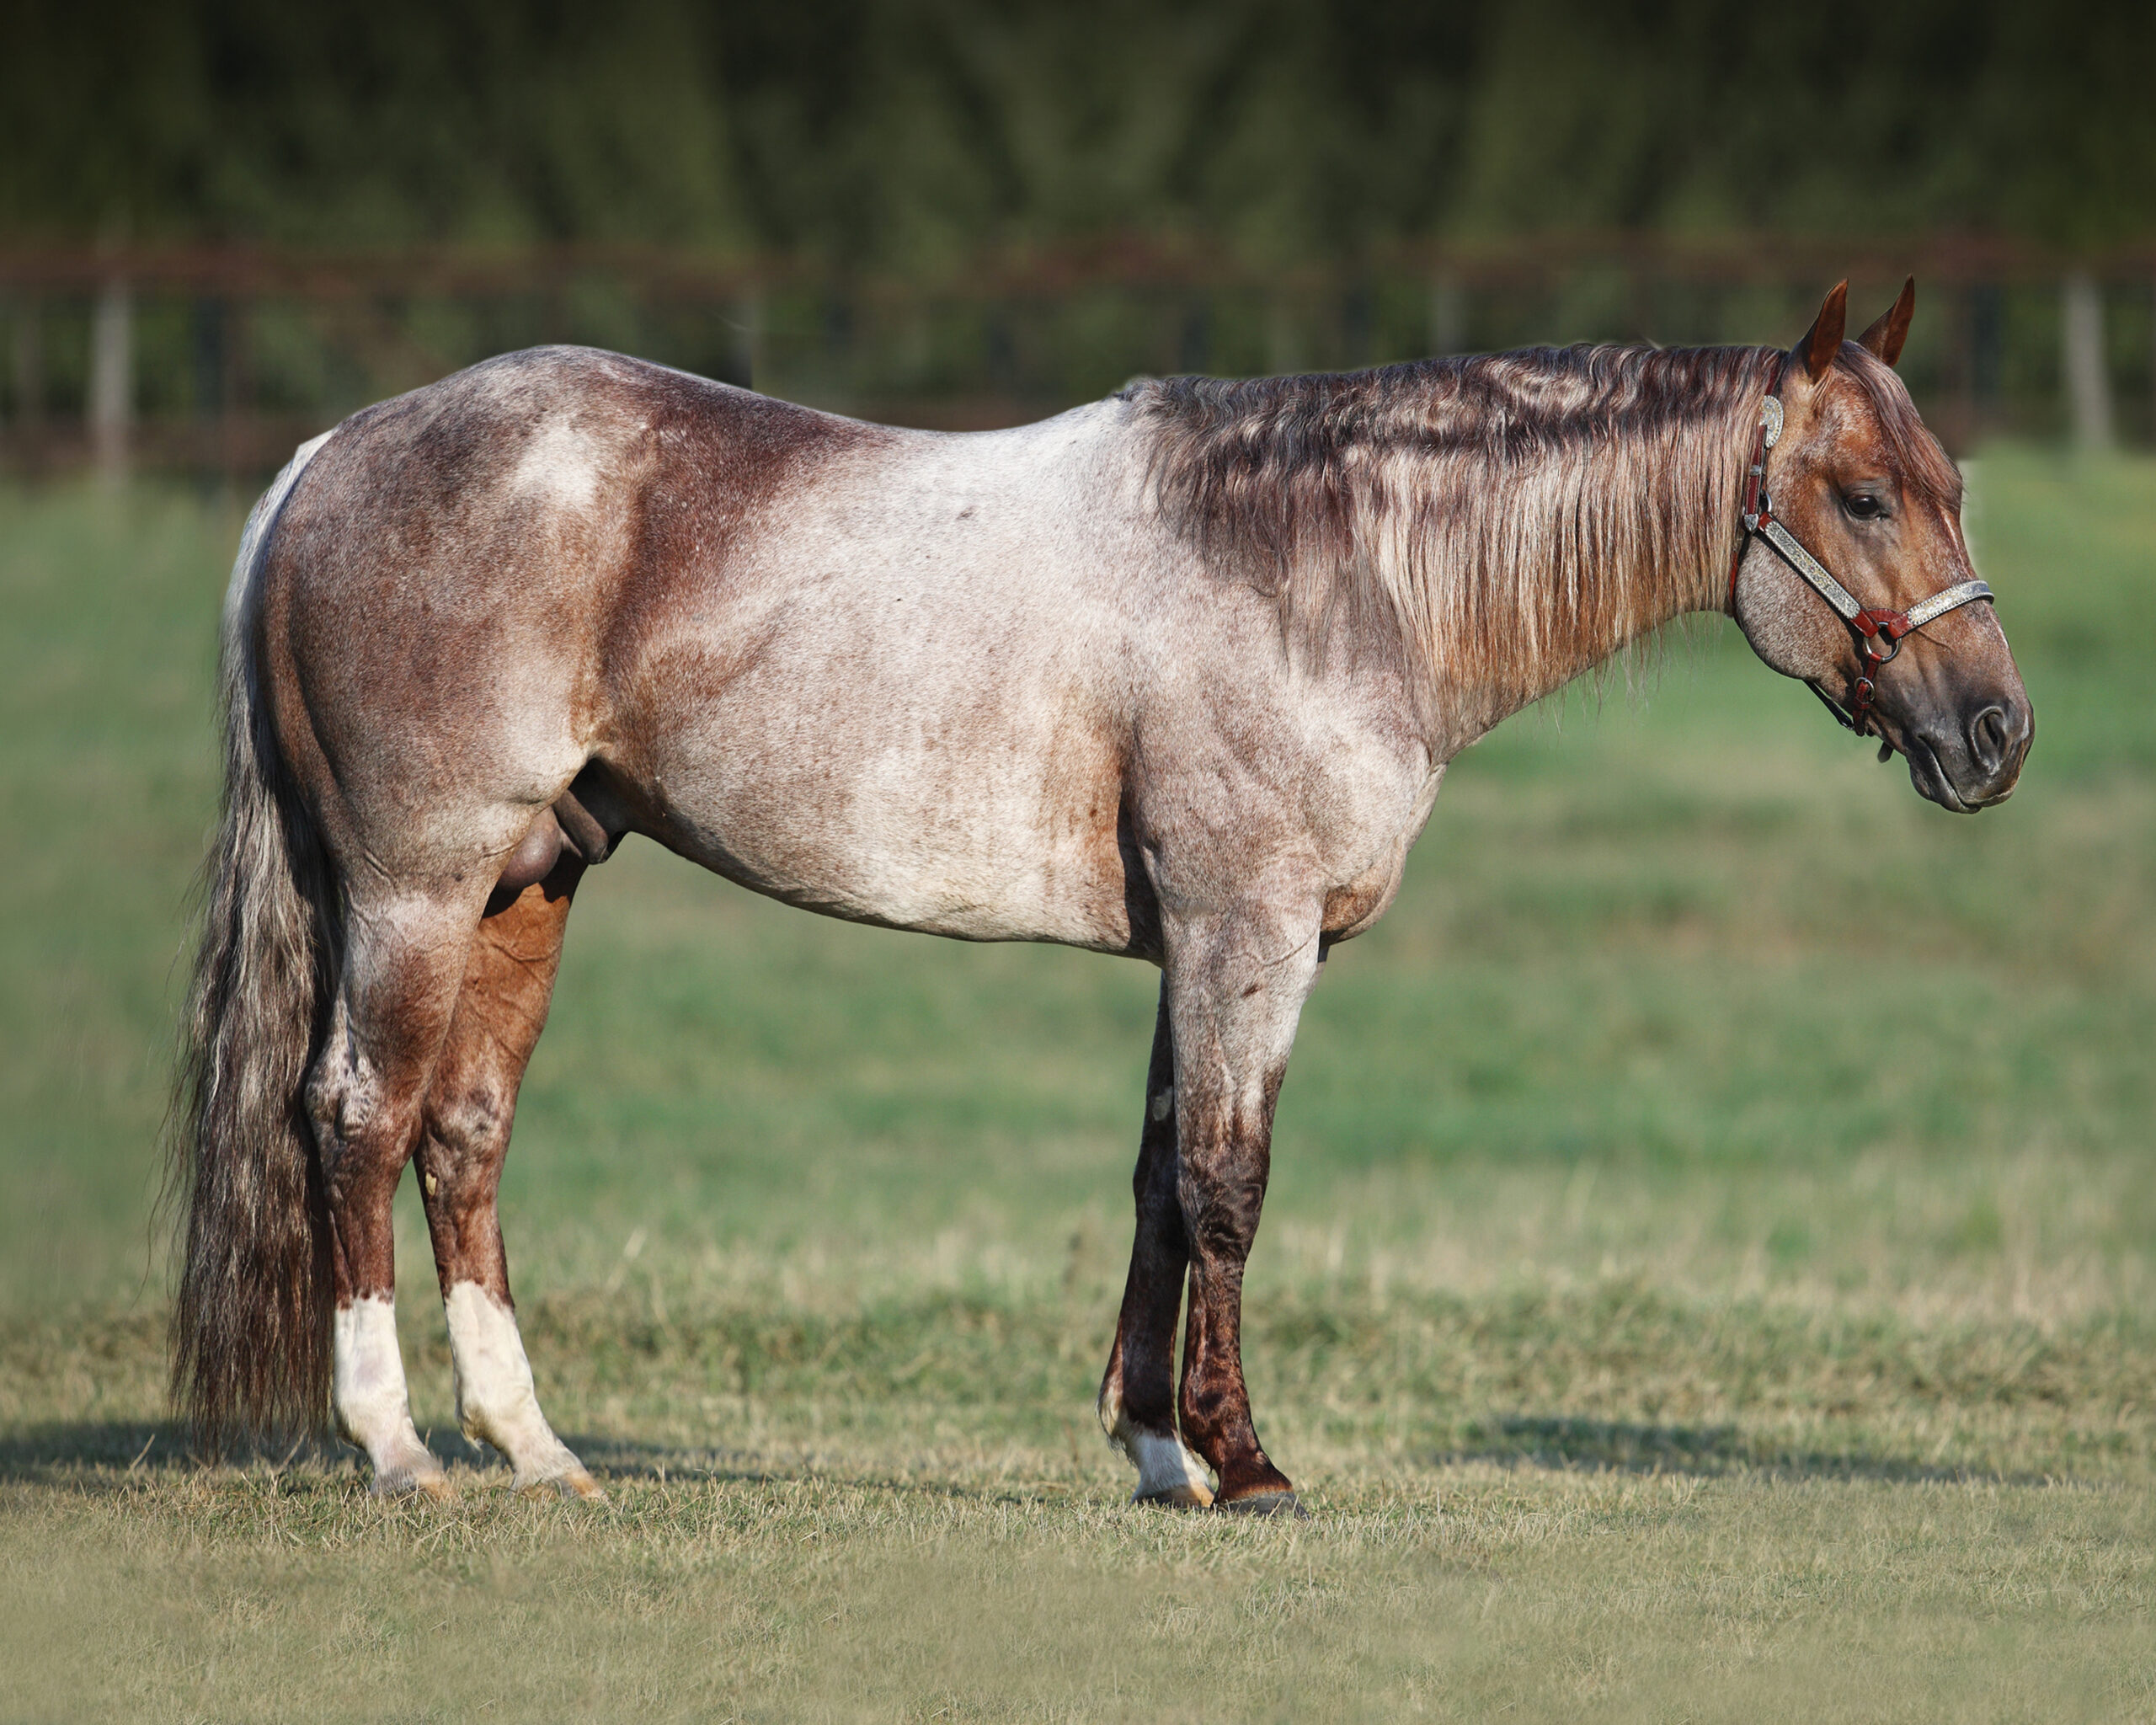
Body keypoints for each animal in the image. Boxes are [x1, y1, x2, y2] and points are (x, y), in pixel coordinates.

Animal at [169, 279, 2030, 1514]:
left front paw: (1150, 1446)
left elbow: (1153, 1179)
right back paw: (397, 1445)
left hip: (528, 885)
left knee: (461, 1133)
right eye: (1863, 493)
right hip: (417, 887)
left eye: (1951, 485)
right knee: (352, 1115)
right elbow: (1225, 1188)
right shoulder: (1248, 934)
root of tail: (328, 456)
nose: (1995, 734)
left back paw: (538, 1447)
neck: (1329, 567)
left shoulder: (1194, 947)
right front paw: (1246, 1461)